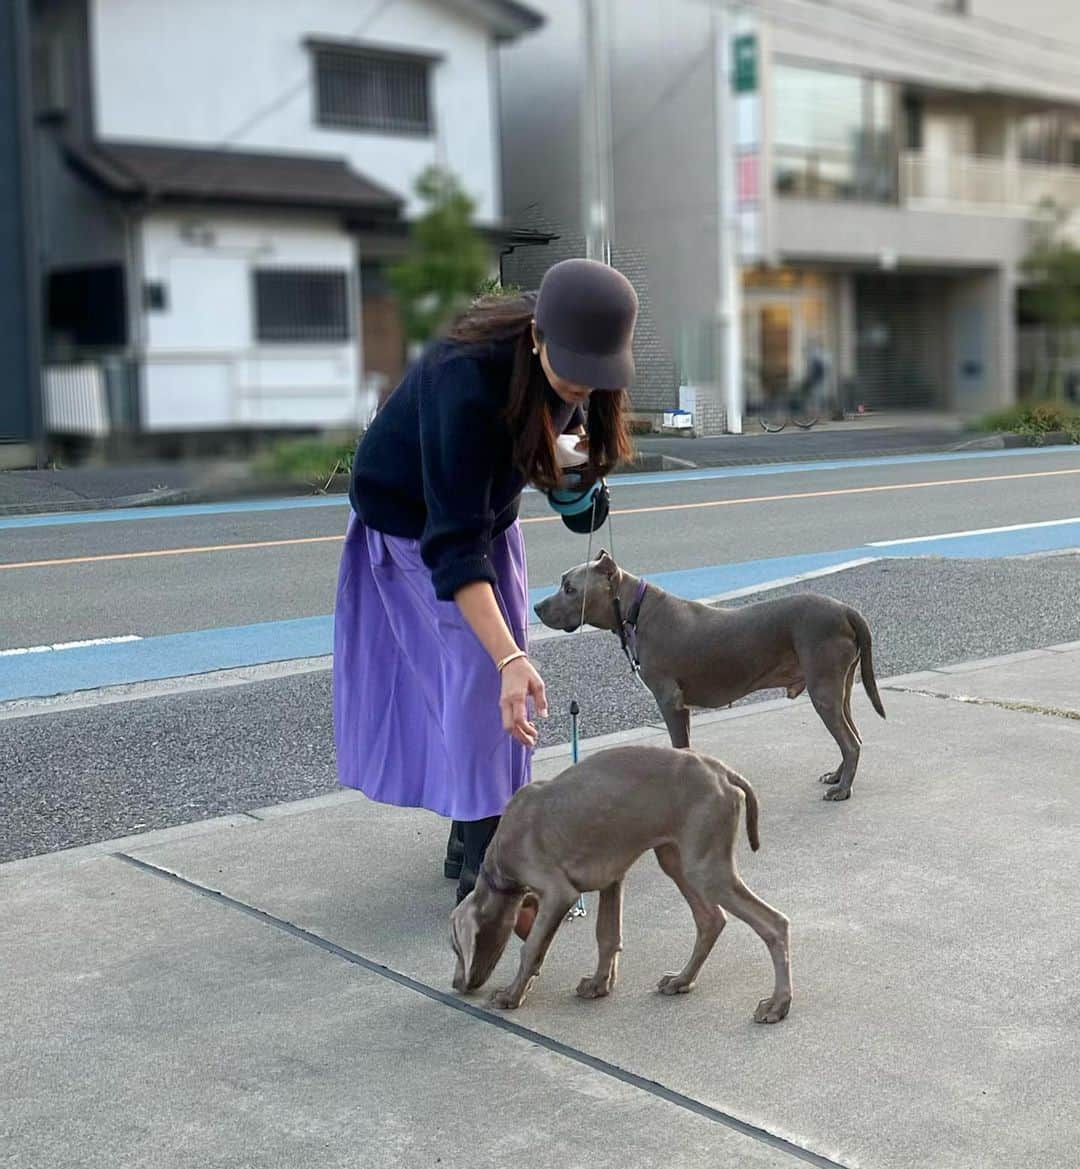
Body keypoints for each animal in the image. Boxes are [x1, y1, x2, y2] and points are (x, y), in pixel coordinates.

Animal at [448, 743, 794, 1019]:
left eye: (455, 948)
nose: (455, 984)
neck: (498, 862)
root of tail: (723, 771)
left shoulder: (559, 892)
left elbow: (531, 947)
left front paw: (511, 995)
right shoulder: (611, 879)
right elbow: (607, 936)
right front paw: (598, 984)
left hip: (706, 869)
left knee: (774, 923)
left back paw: (777, 1004)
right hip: (675, 859)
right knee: (711, 919)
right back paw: (681, 980)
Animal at [532, 551, 883, 799]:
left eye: (569, 588)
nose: (535, 607)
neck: (634, 609)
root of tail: (846, 610)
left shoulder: (669, 701)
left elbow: (679, 746)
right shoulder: (681, 705)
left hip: (823, 688)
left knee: (850, 741)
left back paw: (842, 789)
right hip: (839, 686)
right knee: (852, 734)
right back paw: (837, 776)